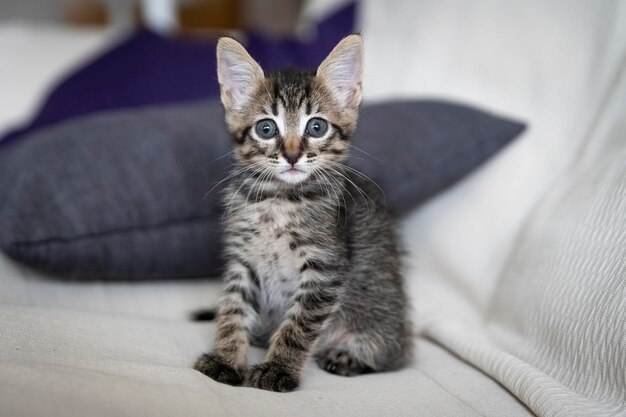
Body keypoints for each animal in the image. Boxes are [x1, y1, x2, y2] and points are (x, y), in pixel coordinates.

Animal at [193, 35, 412, 390]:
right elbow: (232, 309)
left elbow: (299, 326)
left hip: (382, 318)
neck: (279, 199)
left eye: (317, 127)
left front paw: (278, 369)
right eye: (266, 129)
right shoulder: (243, 259)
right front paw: (225, 358)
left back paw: (347, 357)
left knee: (390, 355)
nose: (293, 155)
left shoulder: (325, 268)